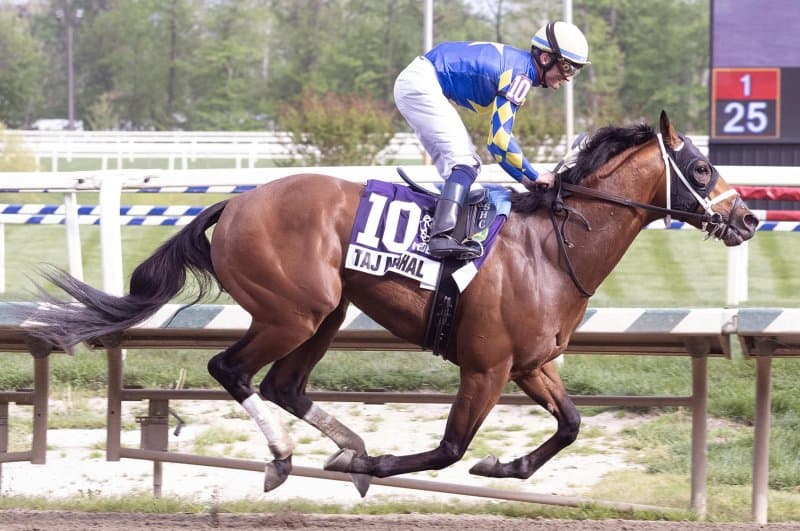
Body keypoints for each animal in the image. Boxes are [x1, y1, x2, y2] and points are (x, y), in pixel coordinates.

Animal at [28, 111, 758, 496]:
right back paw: (288, 456)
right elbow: (448, 448)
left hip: (325, 313)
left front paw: (507, 465)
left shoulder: (530, 364)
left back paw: (342, 442)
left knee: (284, 384)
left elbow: (572, 424)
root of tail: (235, 202)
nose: (748, 218)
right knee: (231, 370)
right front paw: (376, 466)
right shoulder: (486, 367)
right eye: (701, 170)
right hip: (293, 310)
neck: (551, 249)